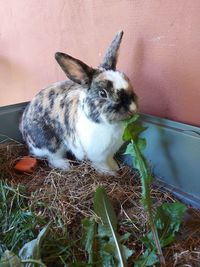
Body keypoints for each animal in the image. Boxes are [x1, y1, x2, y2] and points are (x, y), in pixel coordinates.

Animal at [19, 31, 138, 175]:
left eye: (128, 81)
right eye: (102, 93)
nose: (131, 108)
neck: (109, 125)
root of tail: (23, 130)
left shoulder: (109, 152)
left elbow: (110, 160)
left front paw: (115, 167)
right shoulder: (98, 155)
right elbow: (102, 165)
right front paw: (111, 173)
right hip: (51, 143)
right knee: (52, 158)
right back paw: (65, 165)